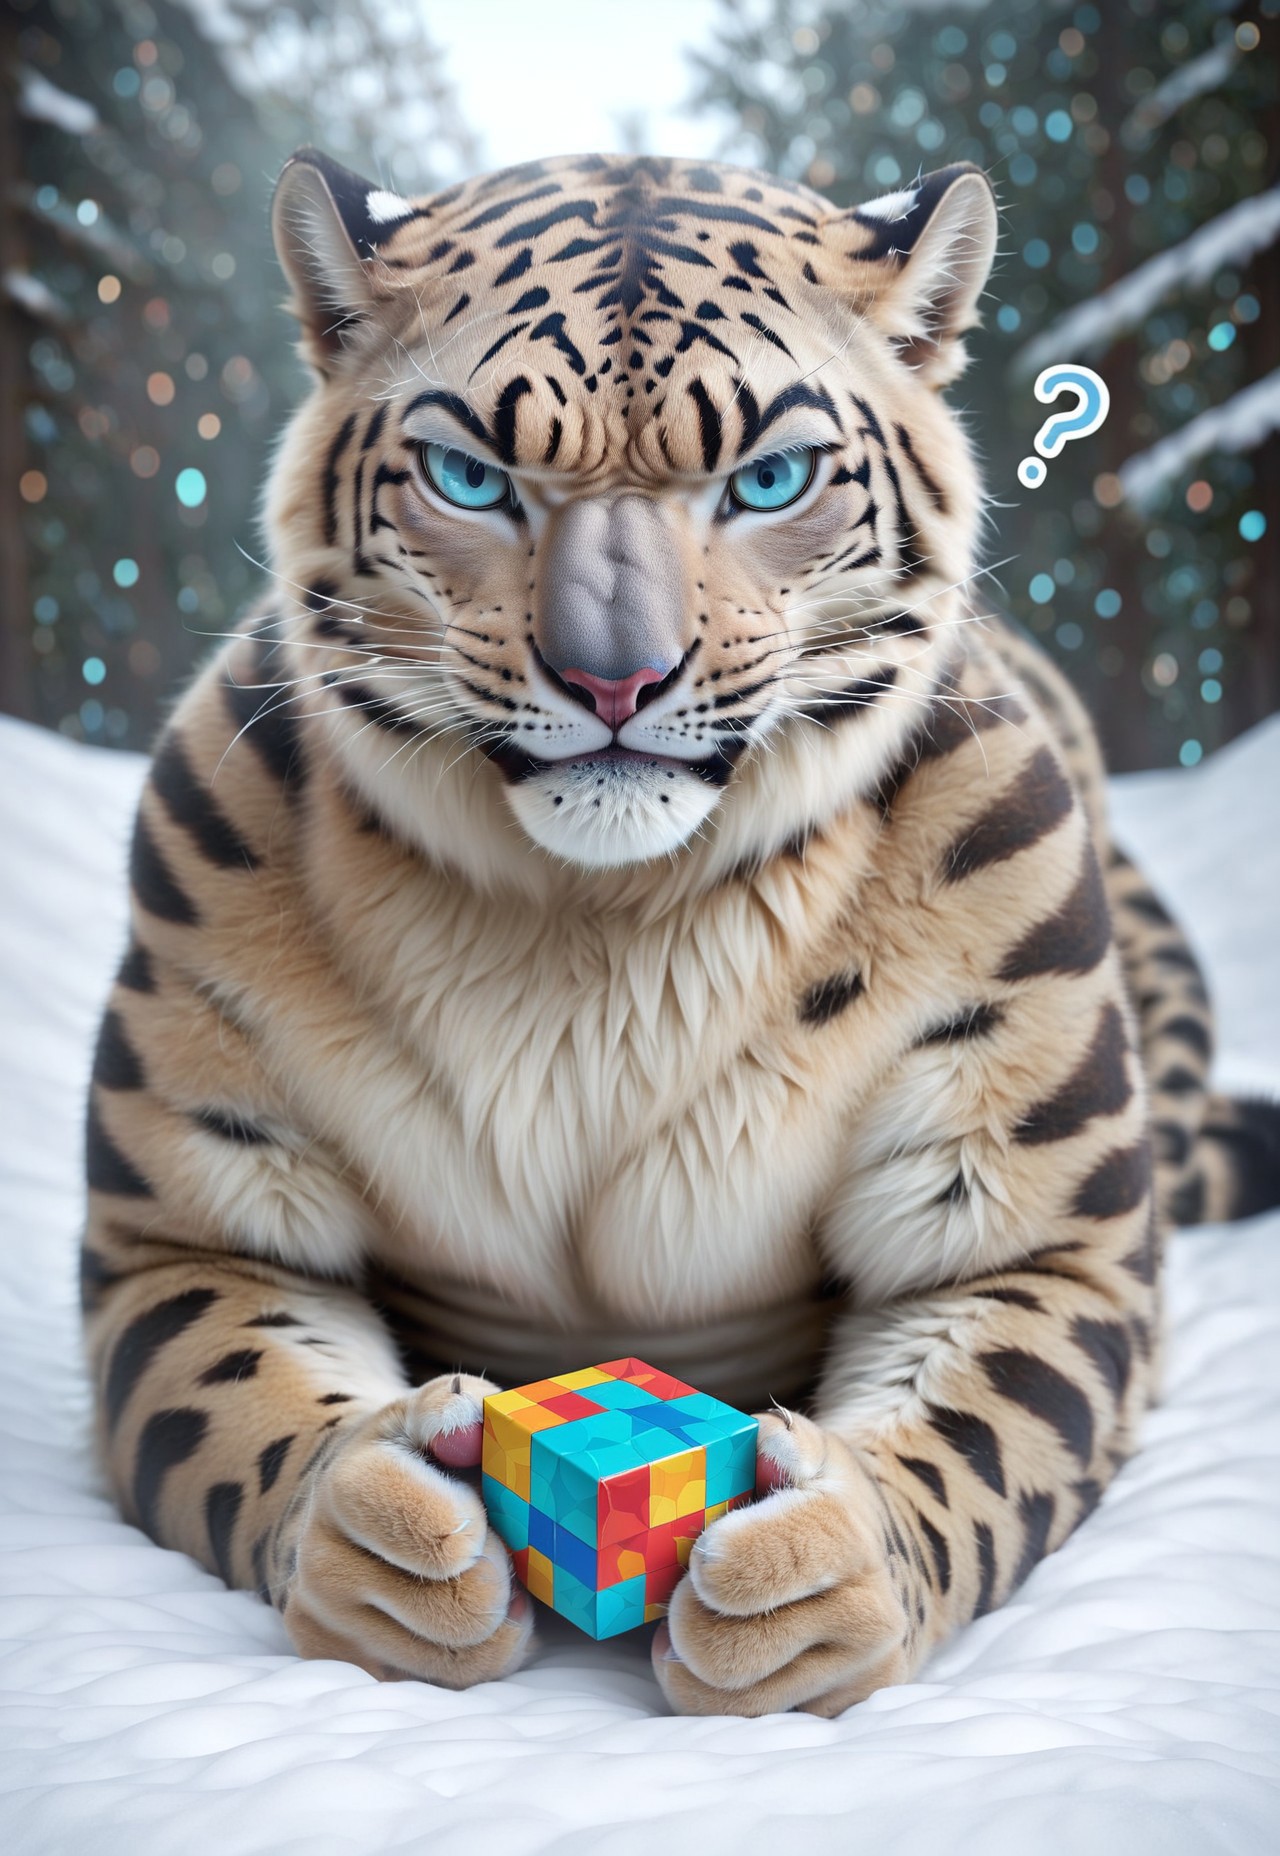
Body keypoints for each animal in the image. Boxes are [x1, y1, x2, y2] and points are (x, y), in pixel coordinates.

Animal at [81, 150, 1280, 1717]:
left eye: (767, 477)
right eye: (471, 475)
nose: (615, 681)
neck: (600, 935)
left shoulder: (1021, 1225)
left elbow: (985, 1419)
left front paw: (819, 1571)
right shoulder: (190, 1219)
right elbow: (229, 1381)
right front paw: (382, 1532)